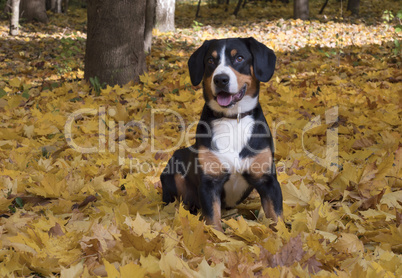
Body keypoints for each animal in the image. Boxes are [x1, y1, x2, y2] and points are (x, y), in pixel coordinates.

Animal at [160, 37, 282, 232]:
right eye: (210, 60)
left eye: (239, 58)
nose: (221, 79)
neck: (232, 119)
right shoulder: (209, 183)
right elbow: (213, 221)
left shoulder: (267, 180)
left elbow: (277, 218)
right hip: (174, 168)